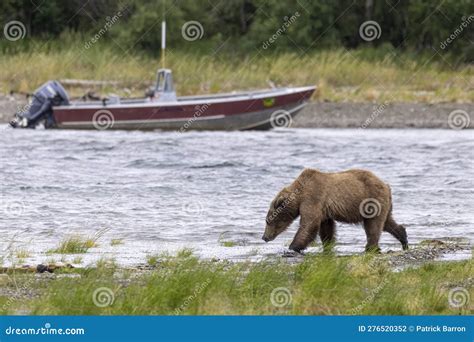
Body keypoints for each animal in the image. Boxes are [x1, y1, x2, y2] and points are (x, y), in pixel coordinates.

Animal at [262, 169, 408, 252]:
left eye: (268, 221)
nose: (264, 237)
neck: (299, 194)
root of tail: (386, 185)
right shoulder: (324, 210)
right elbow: (326, 228)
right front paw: (328, 245)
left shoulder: (313, 197)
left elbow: (309, 224)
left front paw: (293, 247)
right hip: (383, 203)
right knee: (387, 222)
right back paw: (404, 240)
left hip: (372, 200)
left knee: (373, 225)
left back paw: (370, 247)